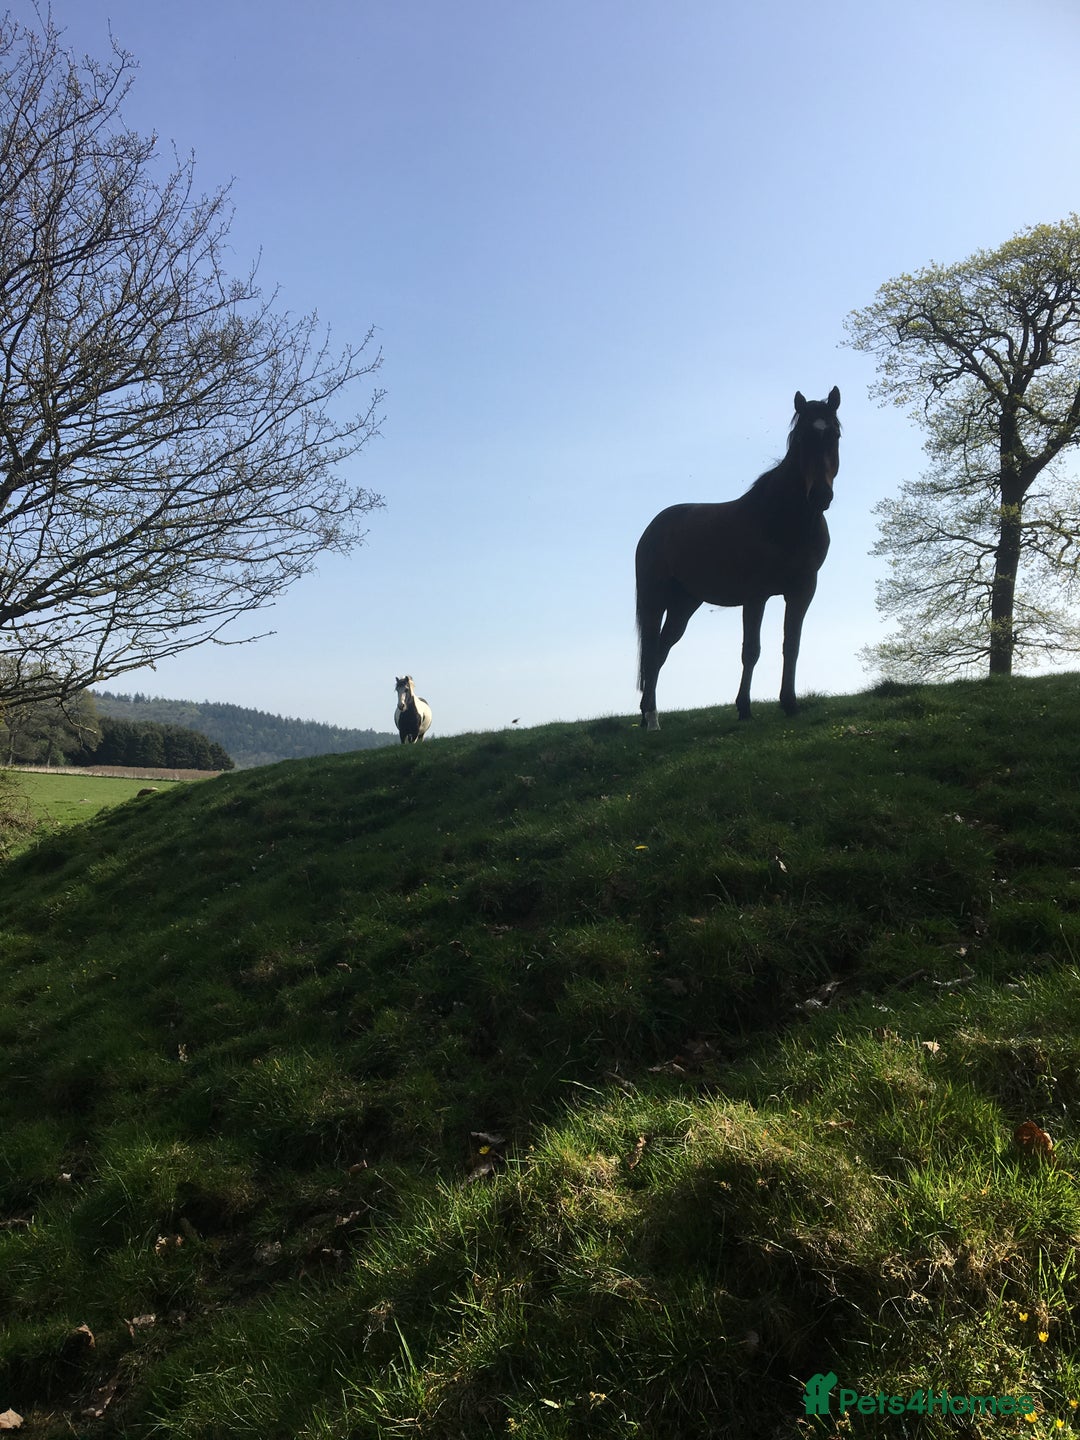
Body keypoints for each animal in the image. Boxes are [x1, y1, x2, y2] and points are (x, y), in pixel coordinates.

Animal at [635, 386, 841, 729]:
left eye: (835, 434)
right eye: (801, 437)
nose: (821, 496)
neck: (782, 520)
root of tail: (653, 527)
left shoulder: (802, 591)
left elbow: (792, 645)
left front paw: (790, 703)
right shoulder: (756, 596)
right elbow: (751, 651)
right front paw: (744, 708)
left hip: (684, 604)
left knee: (661, 651)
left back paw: (645, 712)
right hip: (655, 598)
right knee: (651, 653)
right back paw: (652, 718)